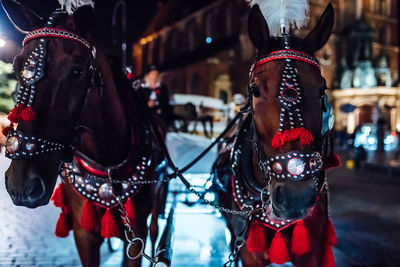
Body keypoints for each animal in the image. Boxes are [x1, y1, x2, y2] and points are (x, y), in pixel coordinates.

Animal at [2, 1, 167, 266]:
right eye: (17, 67)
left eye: (77, 72)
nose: (22, 185)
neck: (106, 165)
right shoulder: (84, 233)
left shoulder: (137, 232)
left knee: (155, 231)